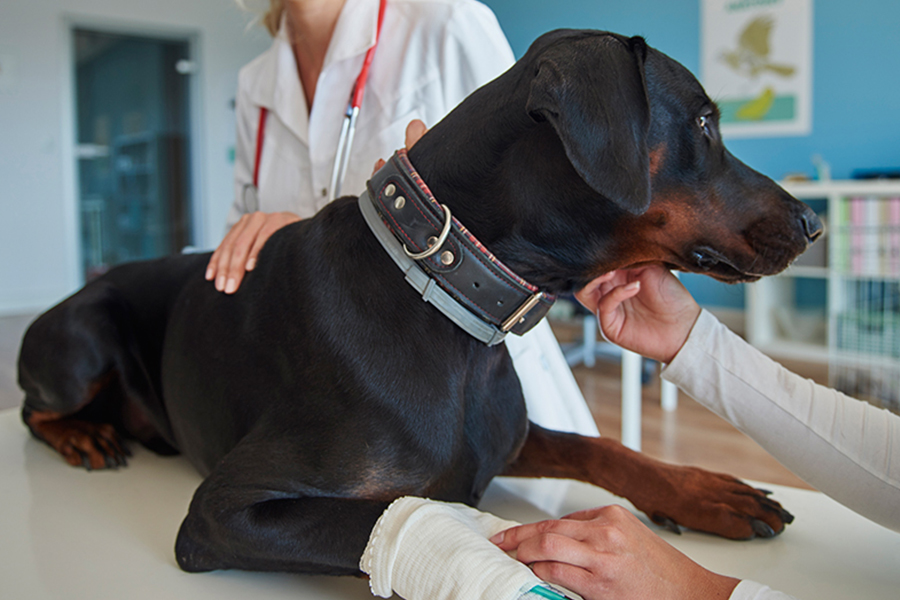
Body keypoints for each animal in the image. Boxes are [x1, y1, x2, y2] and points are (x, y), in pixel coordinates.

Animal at [15, 31, 816, 576]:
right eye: (705, 125)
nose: (813, 222)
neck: (452, 304)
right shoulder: (224, 511)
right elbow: (439, 517)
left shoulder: (503, 437)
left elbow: (600, 446)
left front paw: (705, 492)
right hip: (83, 335)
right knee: (32, 408)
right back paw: (85, 434)